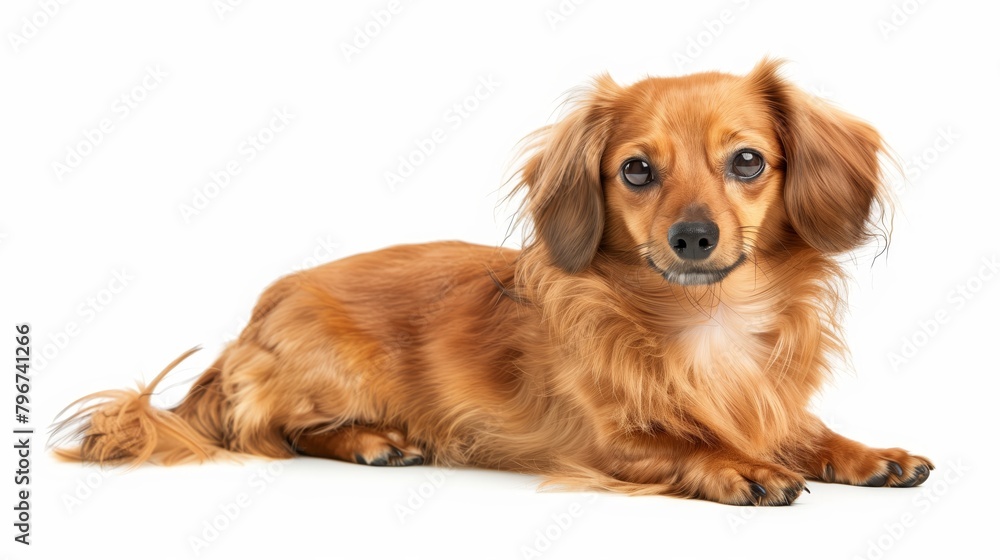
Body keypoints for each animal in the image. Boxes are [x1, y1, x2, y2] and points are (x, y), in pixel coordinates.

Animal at [52, 59, 928, 506]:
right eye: (636, 170)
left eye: (747, 161)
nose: (693, 236)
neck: (702, 317)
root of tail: (251, 322)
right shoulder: (600, 441)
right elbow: (680, 441)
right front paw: (740, 466)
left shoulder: (768, 402)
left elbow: (803, 430)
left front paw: (865, 454)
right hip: (333, 370)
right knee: (280, 430)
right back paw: (376, 442)